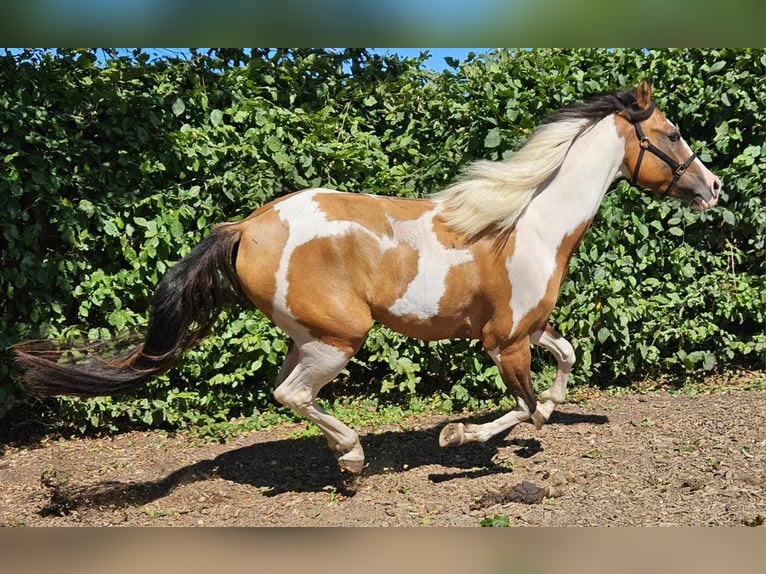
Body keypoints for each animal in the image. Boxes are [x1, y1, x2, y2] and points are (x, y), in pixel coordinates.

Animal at [13, 81, 720, 476]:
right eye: (672, 134)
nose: (712, 187)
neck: (528, 223)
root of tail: (246, 226)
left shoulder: (524, 330)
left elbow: (566, 361)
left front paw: (547, 407)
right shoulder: (505, 344)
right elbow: (522, 409)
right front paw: (458, 434)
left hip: (307, 336)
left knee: (287, 390)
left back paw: (343, 456)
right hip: (339, 338)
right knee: (290, 395)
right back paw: (352, 458)